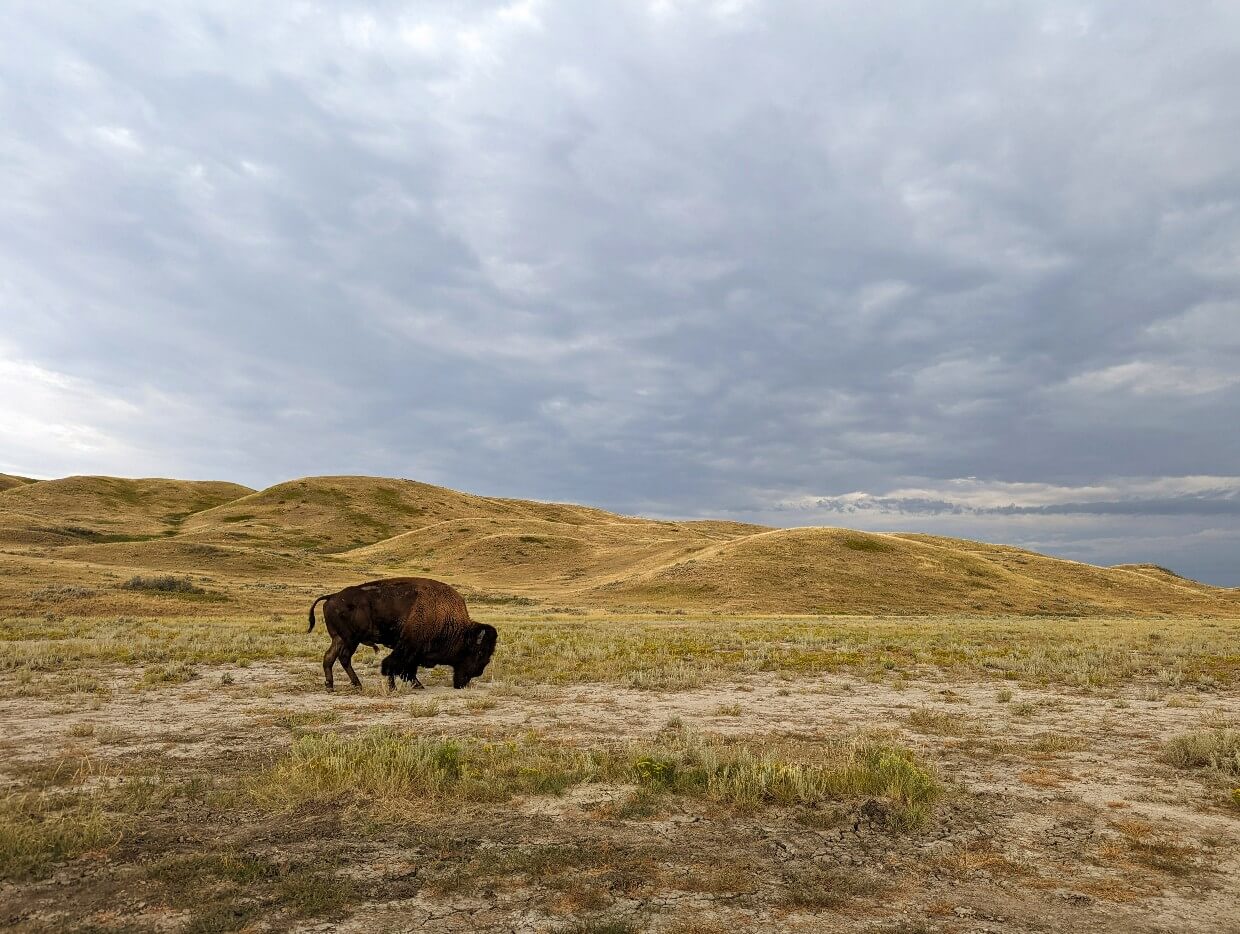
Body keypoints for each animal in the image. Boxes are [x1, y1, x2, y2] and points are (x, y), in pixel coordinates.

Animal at [307, 575, 496, 694]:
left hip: (340, 639)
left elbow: (408, 669)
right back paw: (353, 685)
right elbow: (394, 666)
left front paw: (415, 685)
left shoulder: (413, 652)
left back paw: (335, 686)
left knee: (330, 657)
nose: (477, 673)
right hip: (350, 639)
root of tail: (332, 596)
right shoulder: (408, 648)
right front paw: (396, 687)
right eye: (479, 653)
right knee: (342, 657)